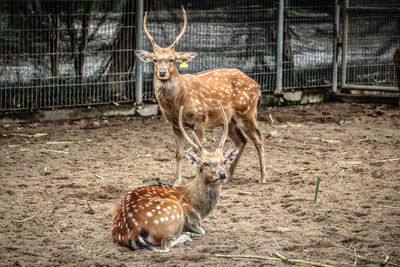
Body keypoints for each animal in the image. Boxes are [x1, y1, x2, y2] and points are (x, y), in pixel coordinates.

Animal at [111, 102, 239, 251]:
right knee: (167, 243)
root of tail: (132, 232)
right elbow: (202, 230)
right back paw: (186, 235)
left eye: (224, 161)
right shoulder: (193, 217)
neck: (198, 207)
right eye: (205, 163)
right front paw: (191, 232)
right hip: (173, 212)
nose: (222, 174)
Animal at [135, 6, 268, 186]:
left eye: (172, 59)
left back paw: (263, 177)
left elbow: (199, 153)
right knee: (242, 141)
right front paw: (177, 182)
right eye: (154, 60)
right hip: (230, 119)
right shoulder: (175, 125)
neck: (179, 102)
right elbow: (179, 153)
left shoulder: (200, 120)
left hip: (247, 111)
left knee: (258, 138)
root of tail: (257, 85)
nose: (162, 73)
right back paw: (230, 176)